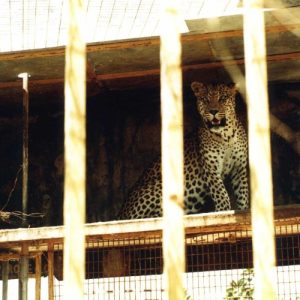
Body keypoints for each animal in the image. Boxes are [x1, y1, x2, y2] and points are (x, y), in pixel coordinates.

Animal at [118, 82, 250, 220]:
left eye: (223, 98)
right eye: (205, 100)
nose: (213, 111)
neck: (226, 137)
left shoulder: (239, 168)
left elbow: (243, 192)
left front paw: (244, 210)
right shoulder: (210, 168)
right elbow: (220, 192)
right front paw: (223, 211)